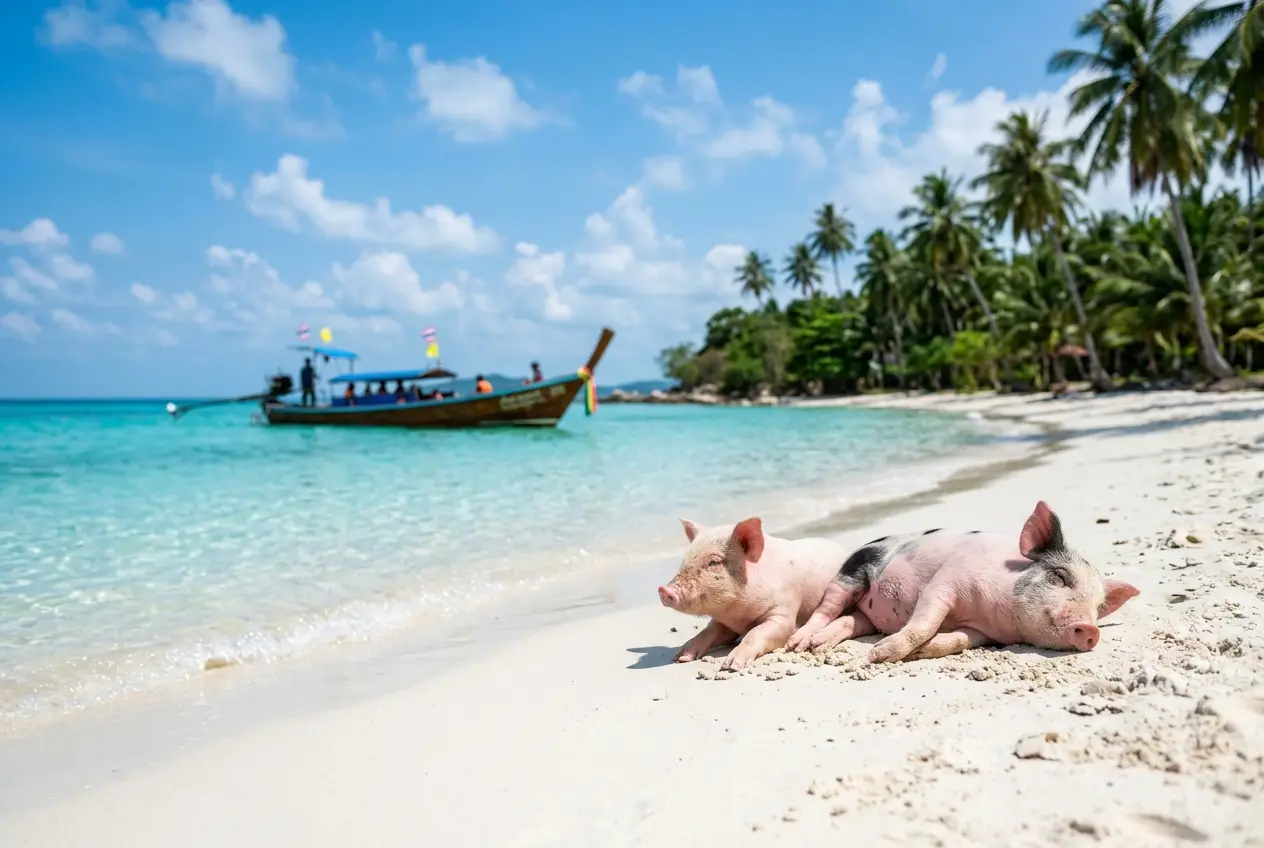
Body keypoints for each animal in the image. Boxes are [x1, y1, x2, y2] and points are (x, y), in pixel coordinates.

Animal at [657, 516, 848, 670]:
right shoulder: (724, 622)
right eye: (684, 560)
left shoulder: (783, 613)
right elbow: (708, 632)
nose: (663, 590)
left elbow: (757, 632)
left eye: (714, 562)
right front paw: (680, 657)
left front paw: (731, 665)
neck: (740, 616)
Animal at [785, 500, 1140, 663]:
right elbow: (921, 626)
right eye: (1060, 576)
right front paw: (878, 656)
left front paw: (916, 654)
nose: (1091, 629)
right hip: (852, 572)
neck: (993, 614)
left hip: (866, 616)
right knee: (825, 610)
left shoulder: (981, 632)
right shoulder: (945, 583)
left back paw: (819, 646)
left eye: (1097, 606)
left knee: (848, 621)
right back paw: (798, 645)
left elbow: (953, 642)